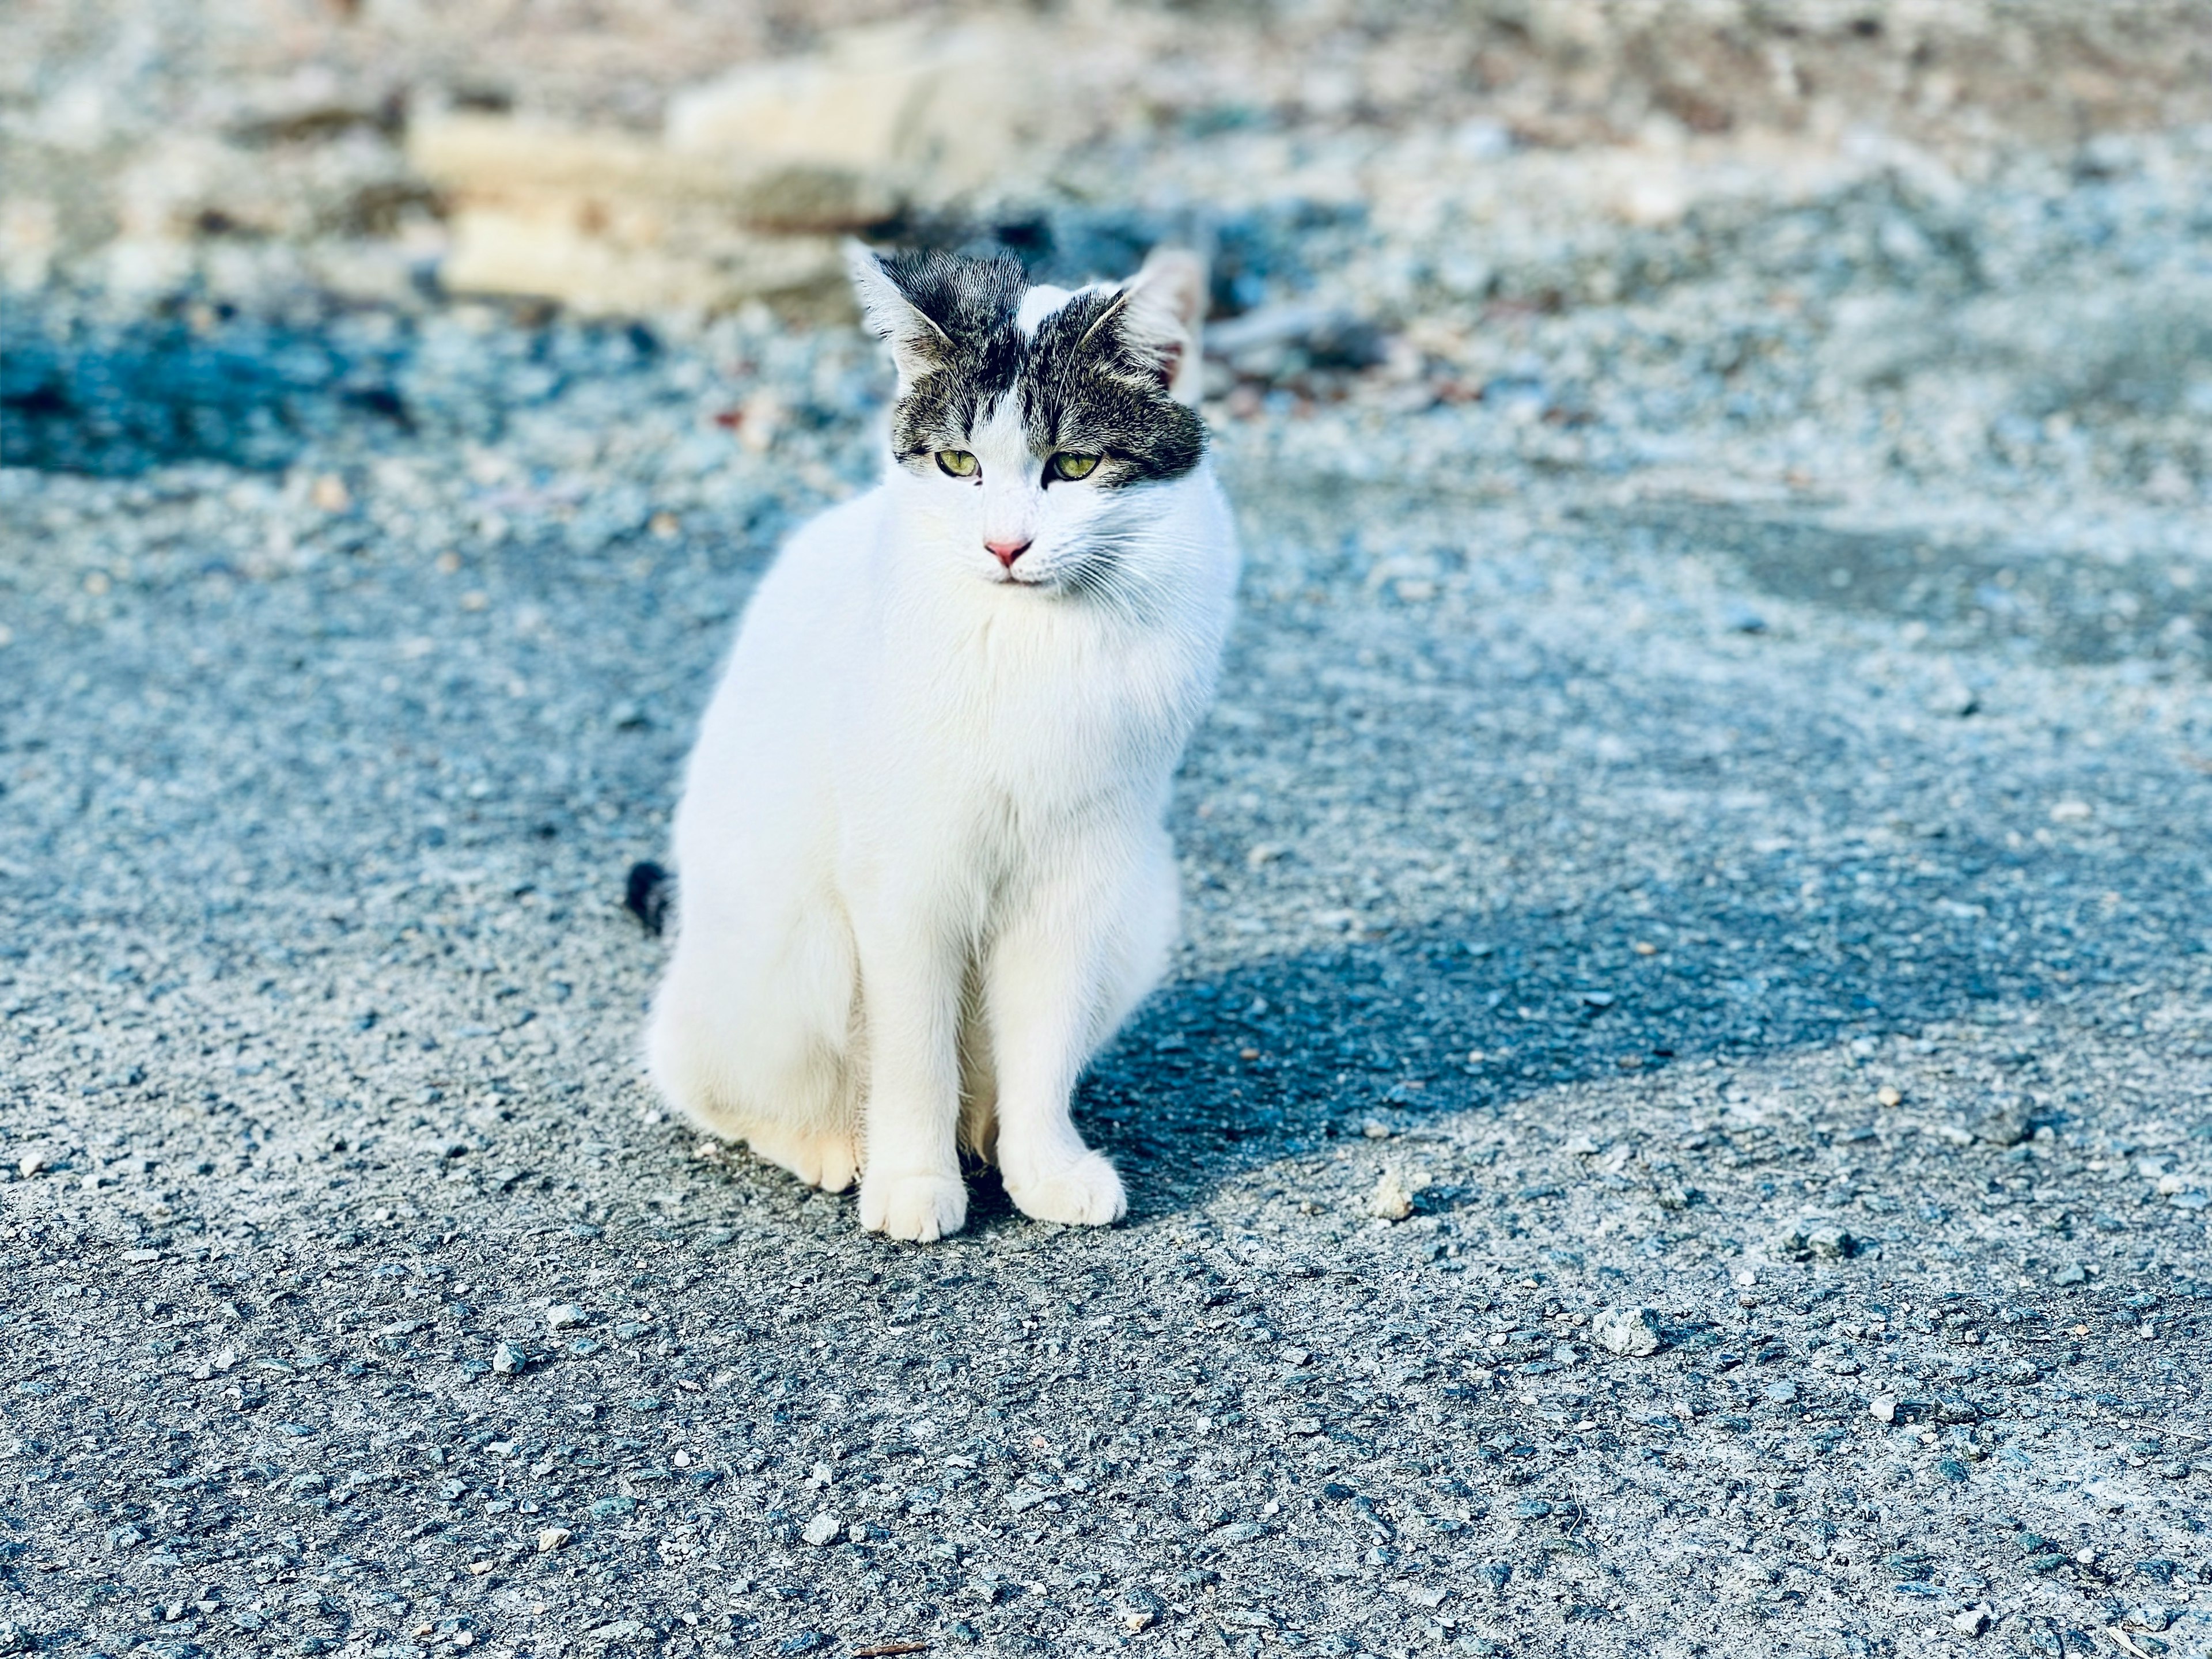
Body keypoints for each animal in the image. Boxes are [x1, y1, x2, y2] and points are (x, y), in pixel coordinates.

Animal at [637, 240, 1247, 1238]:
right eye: (958, 462)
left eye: (1076, 464)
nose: (1005, 547)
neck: (1032, 639)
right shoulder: (905, 879)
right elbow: (913, 1052)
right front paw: (913, 1184)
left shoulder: (1076, 876)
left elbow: (1042, 1039)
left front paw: (1044, 1168)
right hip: (784, 950)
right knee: (711, 1083)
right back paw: (834, 1150)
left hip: (1141, 908)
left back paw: (986, 1139)